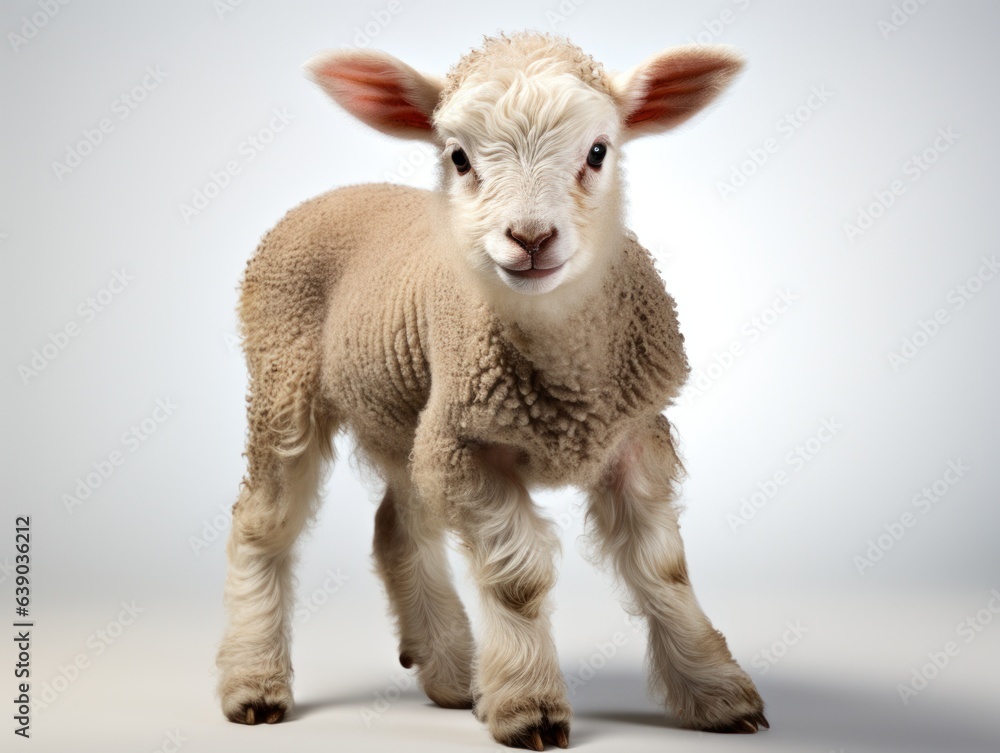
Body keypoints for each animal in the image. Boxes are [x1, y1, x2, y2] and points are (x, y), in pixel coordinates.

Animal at [216, 31, 767, 749]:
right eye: (458, 156)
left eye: (598, 150)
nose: (531, 238)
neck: (569, 380)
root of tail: (336, 193)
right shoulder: (468, 448)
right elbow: (518, 580)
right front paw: (529, 705)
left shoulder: (633, 437)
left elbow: (663, 570)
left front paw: (716, 693)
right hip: (286, 384)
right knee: (262, 523)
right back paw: (254, 683)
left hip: (407, 413)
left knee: (396, 528)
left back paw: (453, 673)